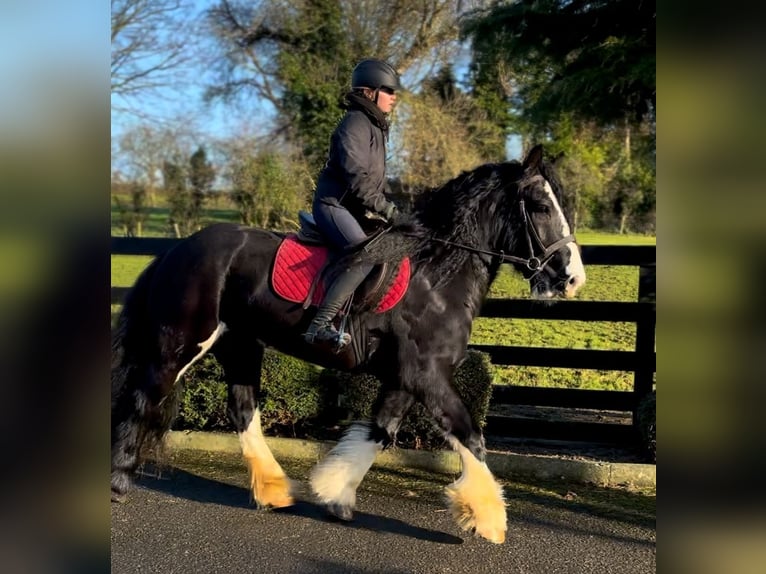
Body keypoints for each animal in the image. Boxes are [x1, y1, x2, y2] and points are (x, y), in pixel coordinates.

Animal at [109, 144, 588, 544]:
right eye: (541, 205)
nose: (572, 279)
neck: (437, 276)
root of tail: (176, 249)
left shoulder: (405, 377)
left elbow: (380, 432)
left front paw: (335, 494)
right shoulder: (427, 374)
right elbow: (469, 434)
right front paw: (488, 520)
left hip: (240, 346)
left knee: (242, 411)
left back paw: (274, 491)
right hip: (181, 344)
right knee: (144, 396)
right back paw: (118, 481)